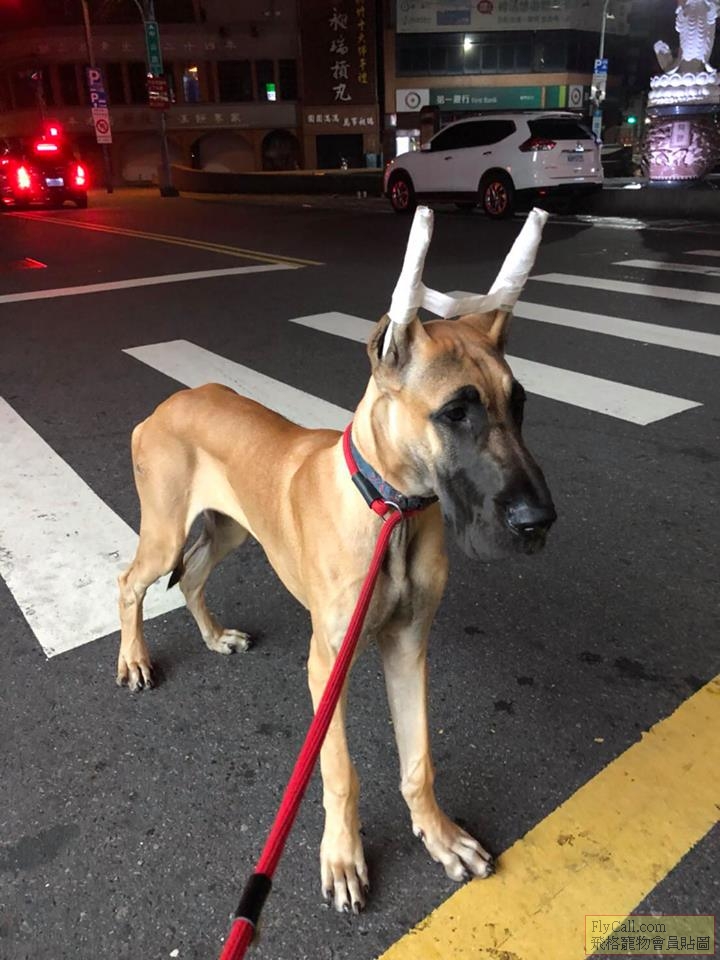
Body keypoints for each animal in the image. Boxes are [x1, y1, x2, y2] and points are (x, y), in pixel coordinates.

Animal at [117, 206, 556, 914]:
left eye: (518, 405)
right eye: (456, 412)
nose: (538, 522)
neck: (392, 510)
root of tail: (164, 405)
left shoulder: (408, 643)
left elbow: (418, 758)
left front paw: (438, 835)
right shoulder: (329, 662)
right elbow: (341, 768)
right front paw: (343, 858)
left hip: (232, 529)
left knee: (196, 574)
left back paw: (214, 637)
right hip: (162, 531)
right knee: (130, 582)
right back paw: (133, 659)